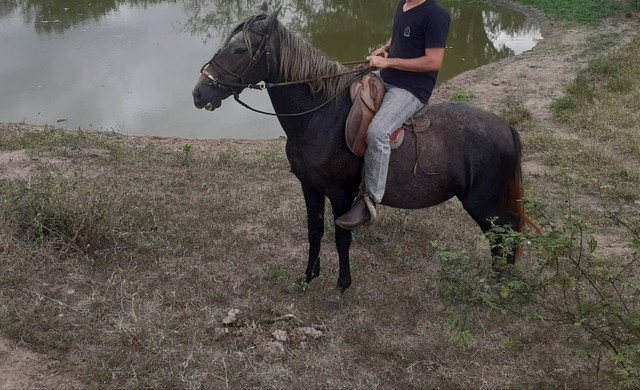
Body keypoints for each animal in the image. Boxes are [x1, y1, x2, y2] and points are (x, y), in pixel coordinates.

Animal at [191, 3, 540, 304]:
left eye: (239, 50)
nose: (198, 93)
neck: (320, 115)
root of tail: (506, 128)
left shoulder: (341, 193)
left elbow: (341, 237)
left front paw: (339, 288)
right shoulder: (309, 186)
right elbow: (314, 231)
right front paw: (307, 278)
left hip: (482, 202)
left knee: (507, 227)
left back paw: (504, 283)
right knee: (499, 232)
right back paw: (497, 279)